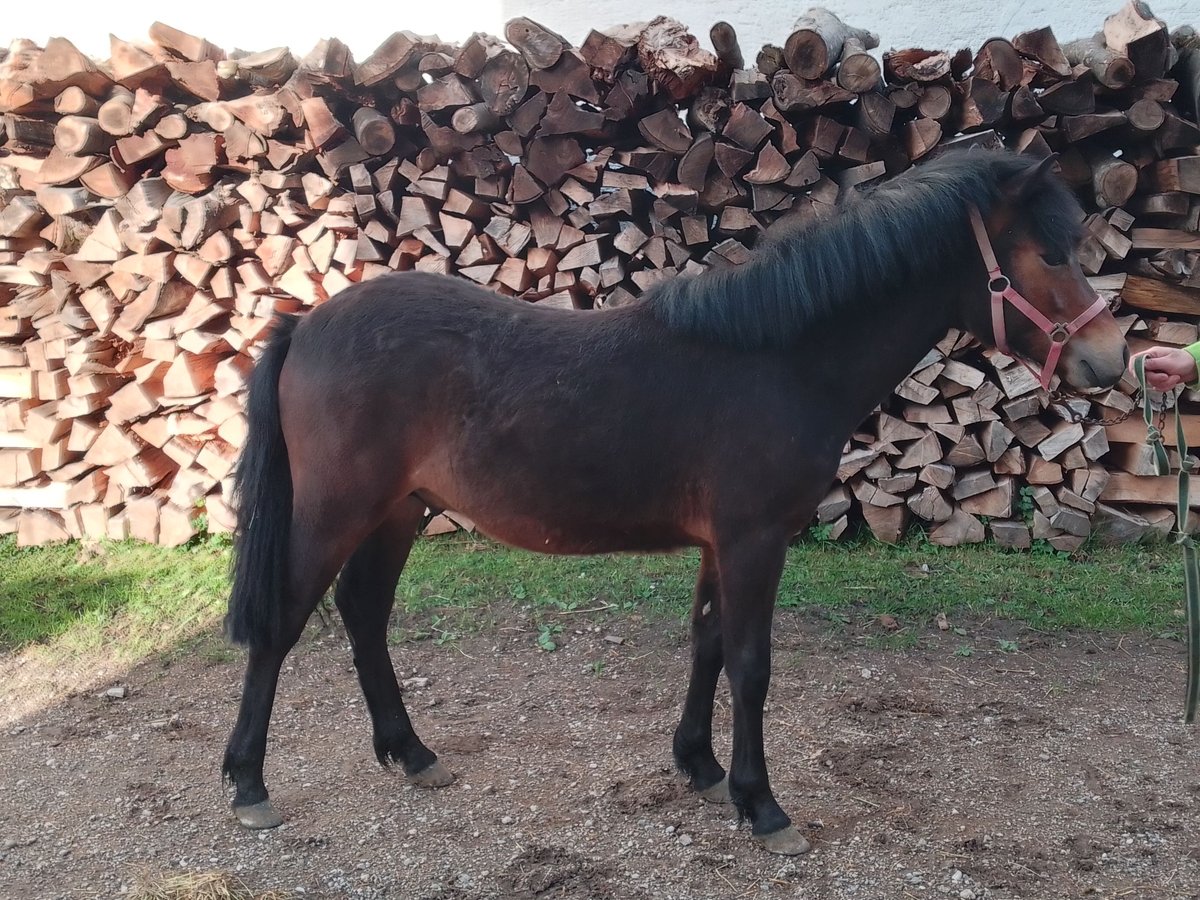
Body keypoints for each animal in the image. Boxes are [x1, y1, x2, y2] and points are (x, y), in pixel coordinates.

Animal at [220, 151, 1128, 854]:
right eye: (1049, 253)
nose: (1111, 358)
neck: (780, 357)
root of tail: (304, 324)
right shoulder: (756, 538)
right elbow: (752, 663)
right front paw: (763, 806)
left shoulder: (721, 541)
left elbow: (708, 644)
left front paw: (700, 765)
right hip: (338, 509)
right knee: (284, 621)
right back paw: (249, 783)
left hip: (398, 508)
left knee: (364, 611)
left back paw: (409, 752)